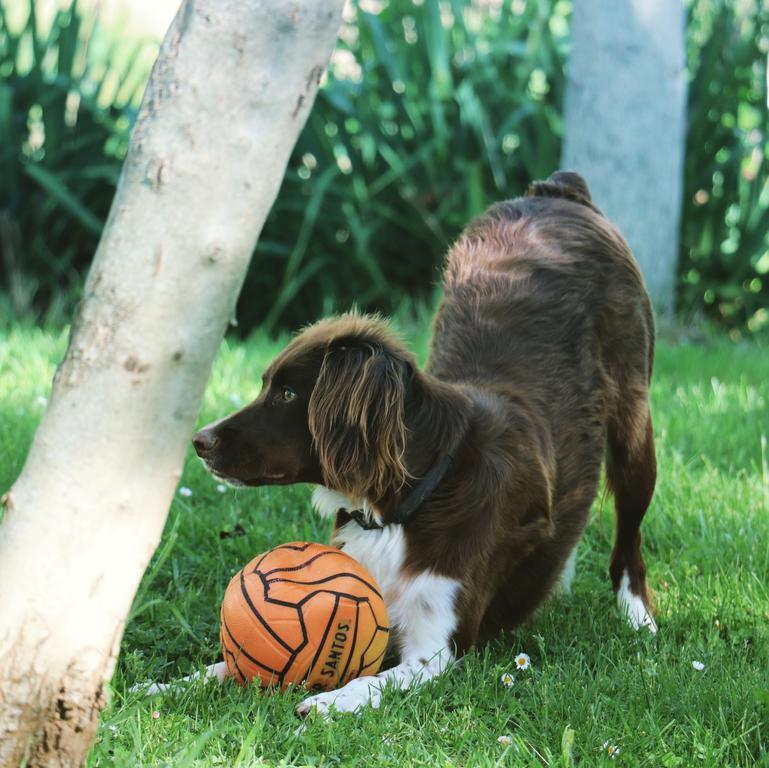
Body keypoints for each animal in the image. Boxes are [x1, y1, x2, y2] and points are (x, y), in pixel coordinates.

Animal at [183, 171, 656, 716]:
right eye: (266, 385)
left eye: (286, 394)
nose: (199, 440)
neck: (403, 503)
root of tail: (555, 192)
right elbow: (224, 664)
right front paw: (166, 684)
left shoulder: (438, 649)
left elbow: (368, 681)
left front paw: (325, 702)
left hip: (634, 423)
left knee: (629, 531)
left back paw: (638, 616)